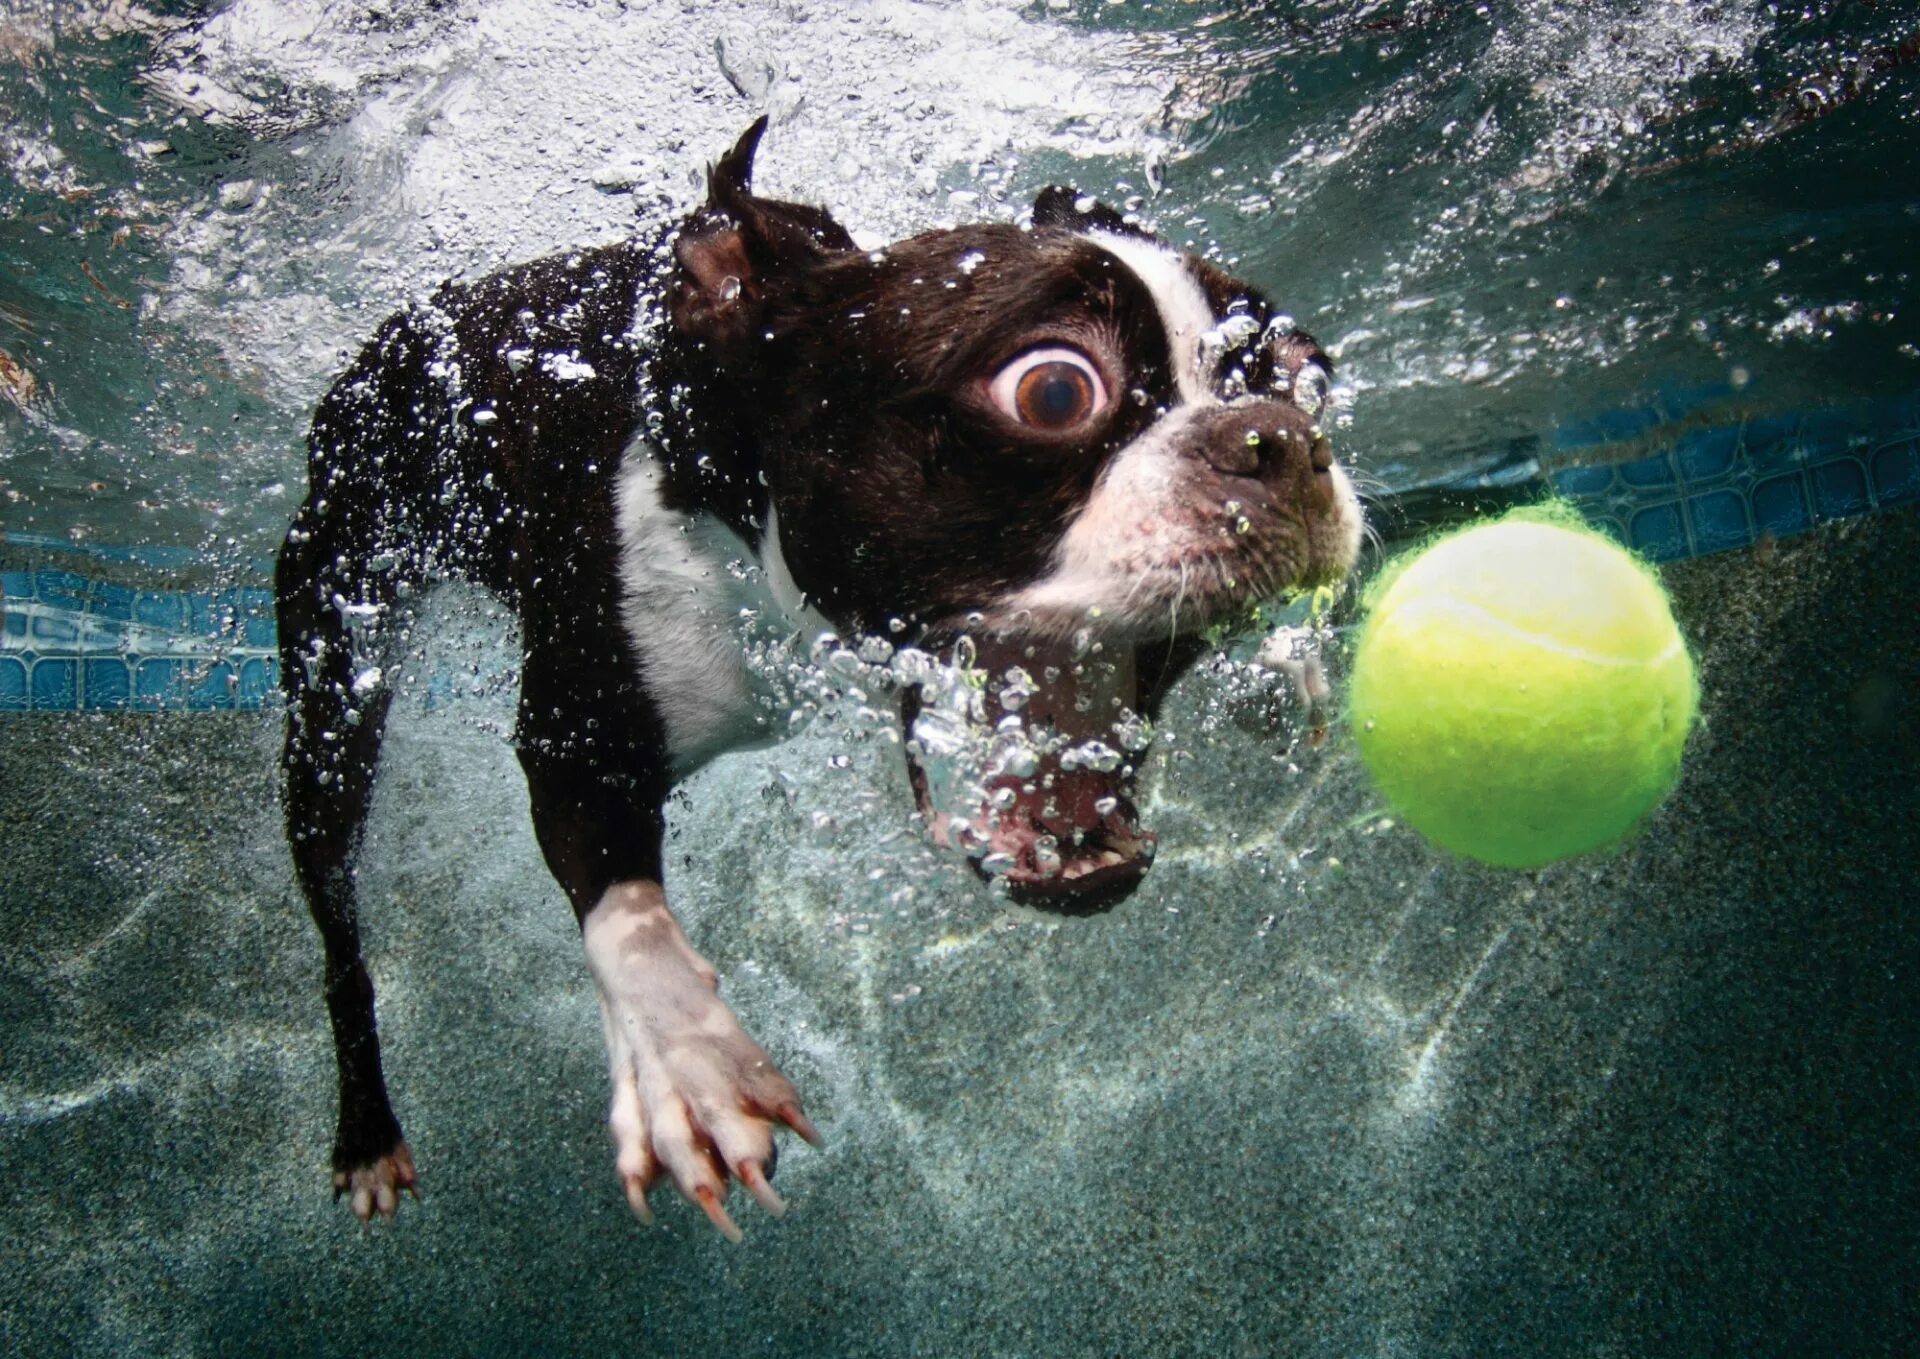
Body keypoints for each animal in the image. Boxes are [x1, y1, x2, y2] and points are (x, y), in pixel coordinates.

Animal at [280, 116, 1367, 1236]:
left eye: (1304, 376)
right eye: (1055, 390)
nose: (1283, 439)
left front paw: (1285, 669)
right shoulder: (578, 734)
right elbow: (625, 916)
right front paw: (687, 1068)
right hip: (338, 634)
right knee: (338, 922)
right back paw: (366, 1133)